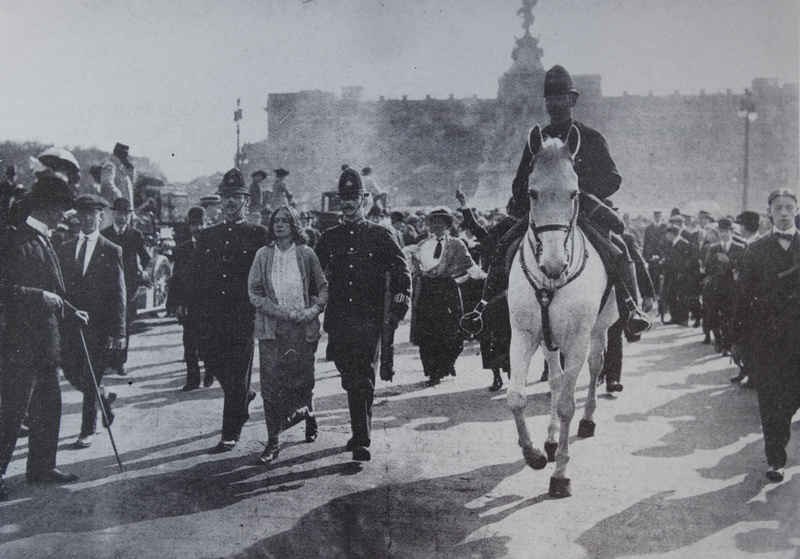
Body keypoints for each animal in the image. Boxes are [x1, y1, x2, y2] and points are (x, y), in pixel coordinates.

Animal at [506, 126, 620, 498]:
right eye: (531, 192)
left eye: (574, 193)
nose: (554, 264)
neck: (550, 282)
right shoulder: (524, 336)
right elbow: (517, 397)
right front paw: (534, 454)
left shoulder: (577, 341)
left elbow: (568, 403)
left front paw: (560, 475)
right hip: (548, 341)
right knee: (555, 382)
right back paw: (552, 439)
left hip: (598, 332)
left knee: (595, 367)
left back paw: (588, 420)